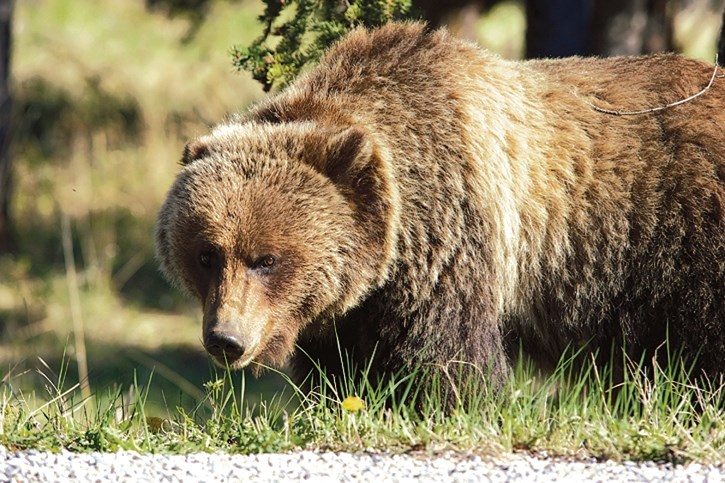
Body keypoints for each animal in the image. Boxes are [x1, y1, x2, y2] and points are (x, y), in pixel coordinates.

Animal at [156, 22, 724, 392]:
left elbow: (449, 357)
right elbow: (343, 370)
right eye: (206, 254)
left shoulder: (452, 242)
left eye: (266, 259)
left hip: (678, 238)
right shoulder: (353, 307)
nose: (226, 339)